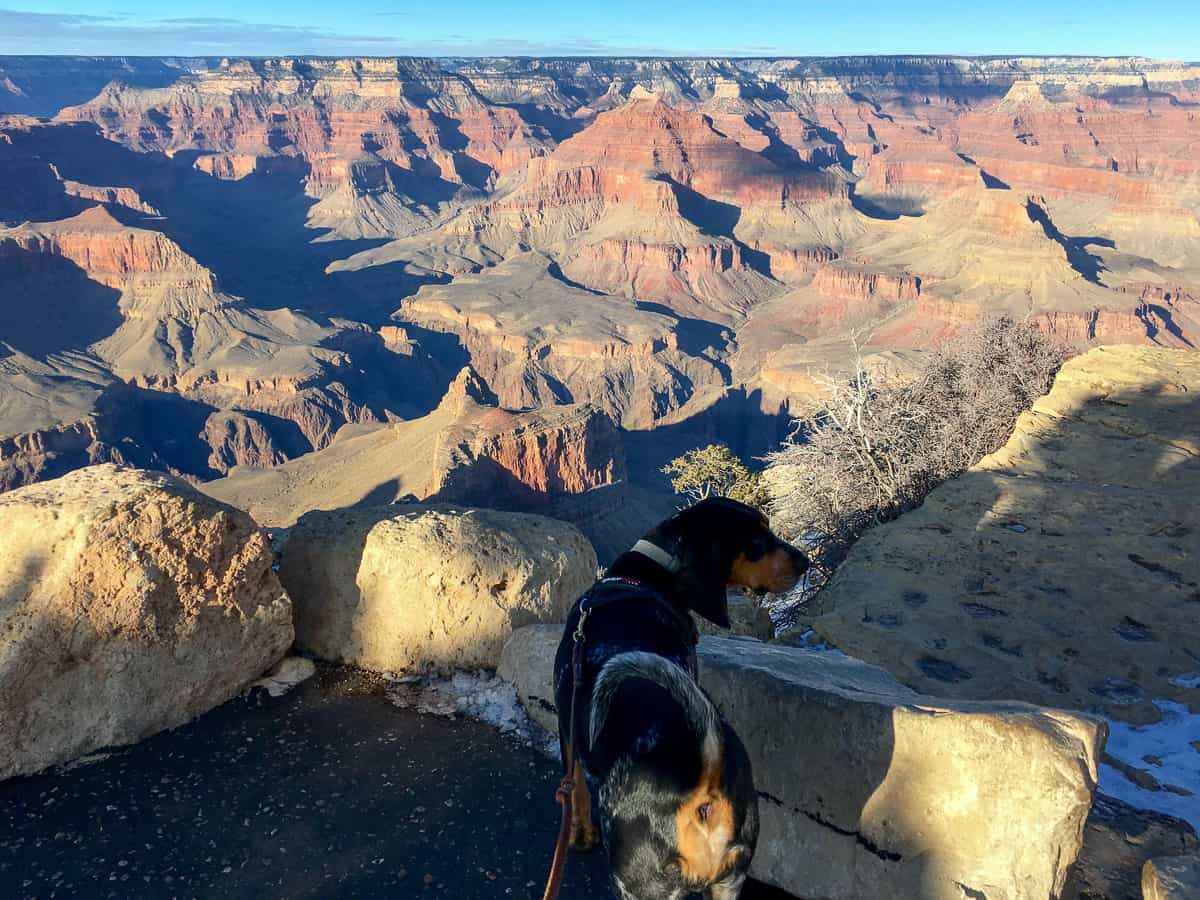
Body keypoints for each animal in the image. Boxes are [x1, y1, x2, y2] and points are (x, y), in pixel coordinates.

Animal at [552, 496, 806, 900]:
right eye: (757, 538)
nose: (805, 561)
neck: (644, 578)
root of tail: (705, 778)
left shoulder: (568, 725)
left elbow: (574, 786)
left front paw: (580, 834)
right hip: (729, 878)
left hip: (639, 882)